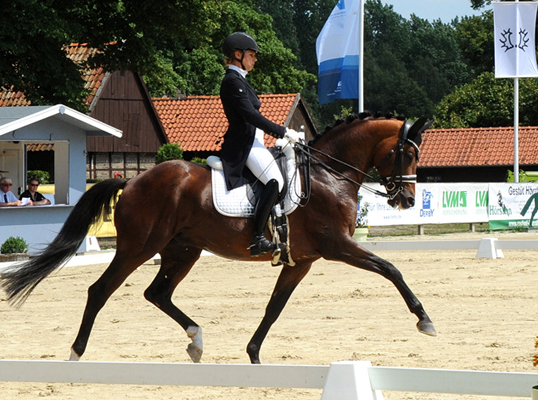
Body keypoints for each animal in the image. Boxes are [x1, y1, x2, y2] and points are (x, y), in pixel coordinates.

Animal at [0, 111, 436, 362]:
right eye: (408, 153)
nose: (407, 199)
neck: (329, 175)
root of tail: (133, 179)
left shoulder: (302, 260)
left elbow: (274, 308)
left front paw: (254, 355)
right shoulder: (337, 246)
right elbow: (391, 269)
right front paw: (425, 320)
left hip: (183, 251)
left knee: (157, 293)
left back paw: (196, 341)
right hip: (138, 247)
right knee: (100, 291)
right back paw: (76, 354)